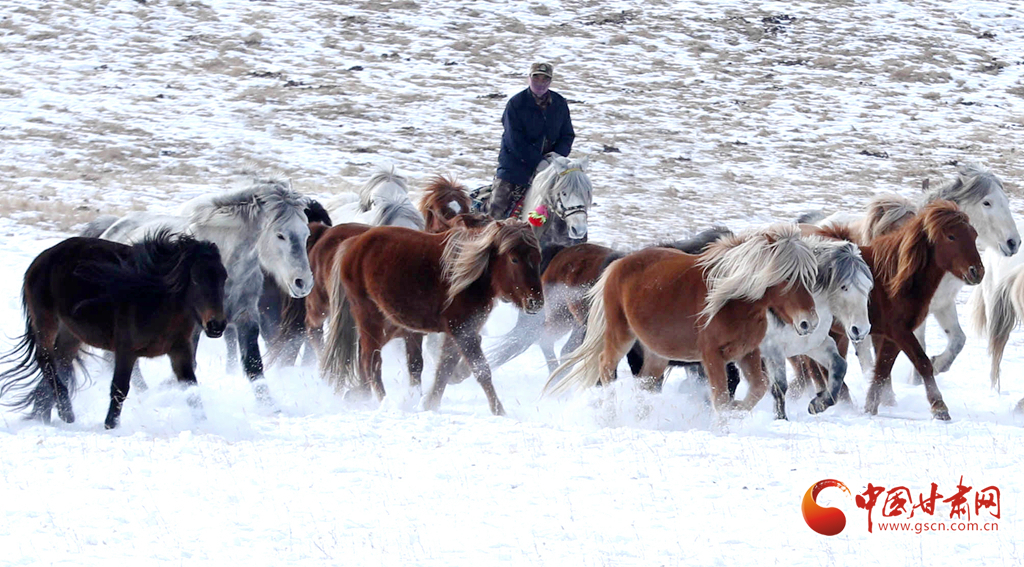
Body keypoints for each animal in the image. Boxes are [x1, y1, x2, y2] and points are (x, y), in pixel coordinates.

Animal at [0, 233, 227, 429]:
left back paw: (45, 414)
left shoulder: (180, 352)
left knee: (60, 362)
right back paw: (66, 413)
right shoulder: (126, 350)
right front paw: (110, 426)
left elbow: (192, 389)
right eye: (196, 279)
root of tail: (40, 260)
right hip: (46, 321)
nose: (217, 325)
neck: (156, 299)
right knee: (45, 359)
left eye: (223, 278)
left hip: (71, 333)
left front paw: (204, 425)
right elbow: (119, 389)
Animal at [96, 175, 314, 405]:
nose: (303, 283)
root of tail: (111, 230)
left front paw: (270, 407)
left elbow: (254, 367)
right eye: (280, 235)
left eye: (306, 234)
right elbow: (187, 370)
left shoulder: (246, 318)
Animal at [320, 220, 544, 415]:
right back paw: (386, 403)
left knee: (367, 358)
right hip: (370, 318)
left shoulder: (460, 332)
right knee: (371, 362)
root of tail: (352, 244)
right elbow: (481, 370)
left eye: (538, 258)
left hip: (391, 323)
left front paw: (430, 403)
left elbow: (445, 368)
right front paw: (499, 411)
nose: (536, 302)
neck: (470, 277)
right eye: (514, 259)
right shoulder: (462, 330)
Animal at [545, 224, 819, 415]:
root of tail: (618, 264)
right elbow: (721, 398)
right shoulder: (711, 356)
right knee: (605, 368)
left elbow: (758, 388)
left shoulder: (747, 353)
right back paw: (611, 414)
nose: (810, 322)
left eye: (809, 276)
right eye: (786, 277)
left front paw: (737, 411)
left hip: (656, 353)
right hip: (620, 336)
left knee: (646, 383)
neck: (733, 302)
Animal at [820, 201, 983, 420]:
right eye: (951, 236)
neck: (894, 278)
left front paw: (871, 408)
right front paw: (939, 407)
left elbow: (882, 370)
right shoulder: (900, 331)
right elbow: (923, 362)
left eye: (974, 235)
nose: (977, 272)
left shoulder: (893, 335)